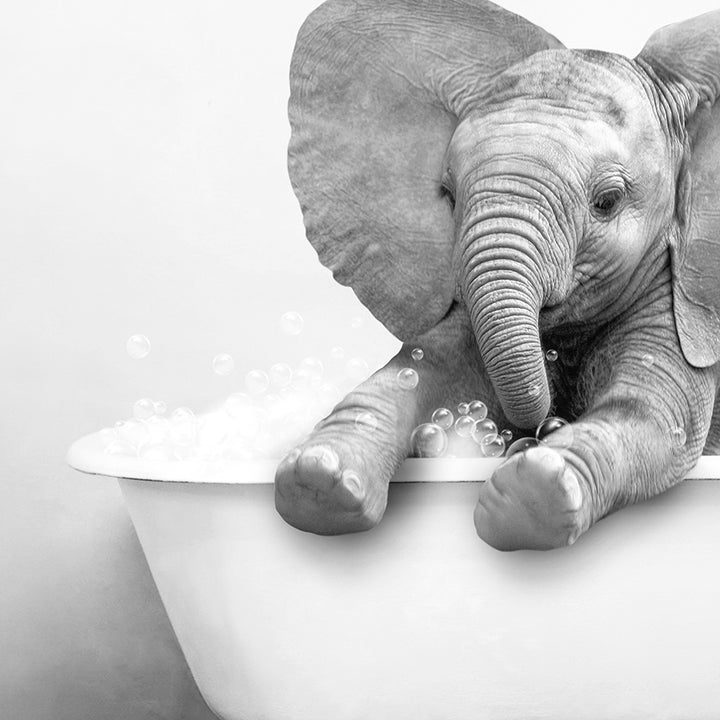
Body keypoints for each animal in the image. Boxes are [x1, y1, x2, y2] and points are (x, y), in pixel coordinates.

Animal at [272, 0, 720, 552]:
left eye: (608, 202)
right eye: (448, 195)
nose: (539, 428)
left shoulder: (688, 301)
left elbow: (654, 416)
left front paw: (530, 493)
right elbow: (419, 371)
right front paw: (317, 479)